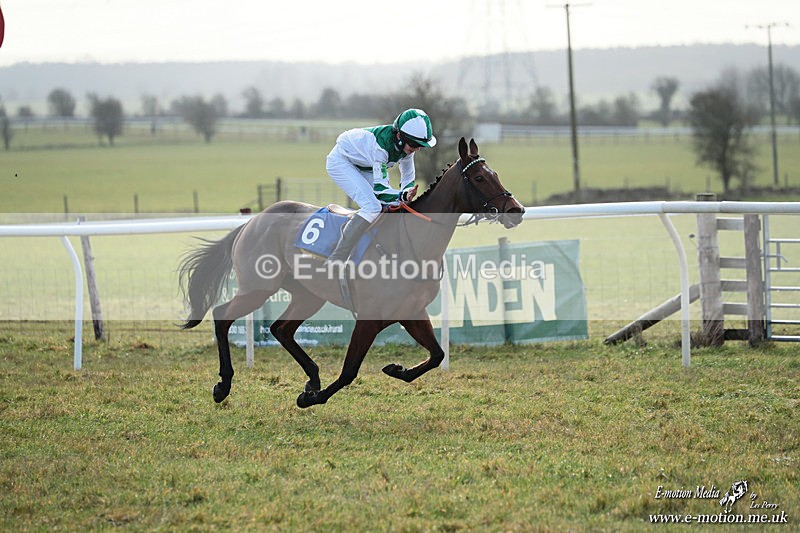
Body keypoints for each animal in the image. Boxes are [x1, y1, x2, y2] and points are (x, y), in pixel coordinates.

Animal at [178, 137, 525, 408]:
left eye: (495, 174)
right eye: (479, 177)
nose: (516, 210)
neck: (410, 243)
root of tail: (252, 222)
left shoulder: (411, 312)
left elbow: (437, 355)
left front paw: (396, 370)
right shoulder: (369, 318)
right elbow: (349, 371)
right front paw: (311, 399)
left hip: (307, 295)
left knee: (281, 329)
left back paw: (312, 378)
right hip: (258, 287)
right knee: (223, 315)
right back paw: (224, 385)